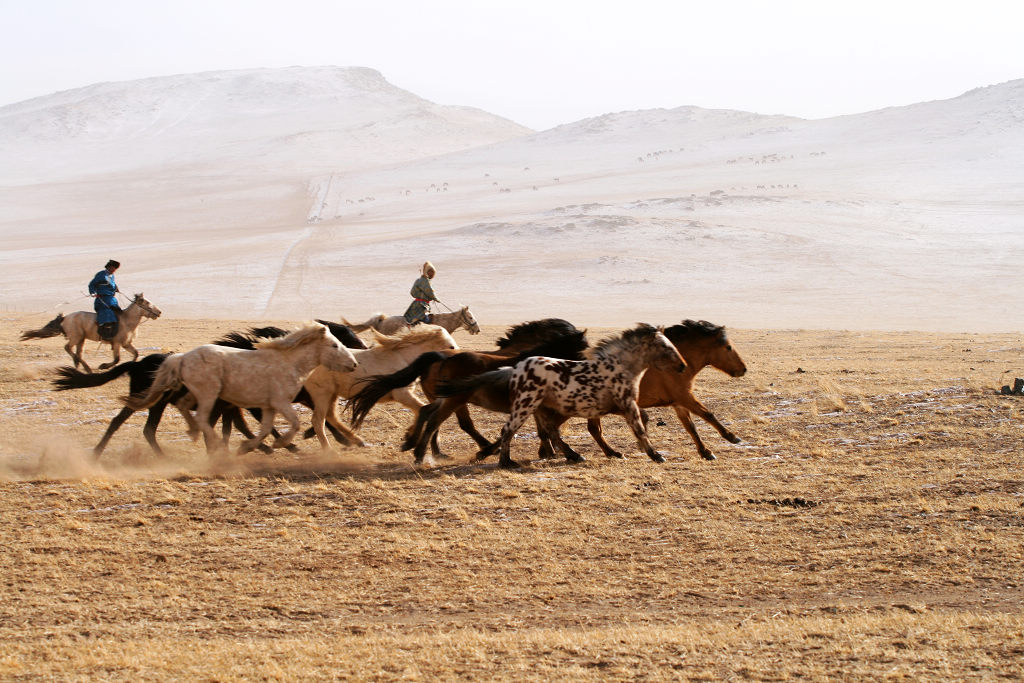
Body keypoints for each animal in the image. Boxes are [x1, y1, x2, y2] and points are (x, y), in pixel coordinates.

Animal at [296, 325, 456, 448]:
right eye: (451, 346)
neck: (403, 358)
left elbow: (419, 410)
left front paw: (408, 434)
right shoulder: (402, 394)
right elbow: (421, 408)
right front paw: (413, 436)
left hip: (332, 395)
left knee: (331, 417)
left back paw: (357, 440)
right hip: (322, 394)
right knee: (318, 421)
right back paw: (330, 450)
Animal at [436, 323, 684, 466]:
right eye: (666, 347)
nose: (682, 366)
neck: (620, 367)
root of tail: (515, 368)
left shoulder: (610, 408)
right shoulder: (627, 405)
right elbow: (639, 428)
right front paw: (655, 455)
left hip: (540, 407)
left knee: (550, 432)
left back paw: (573, 455)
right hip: (526, 405)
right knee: (509, 429)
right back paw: (507, 462)